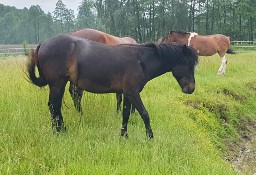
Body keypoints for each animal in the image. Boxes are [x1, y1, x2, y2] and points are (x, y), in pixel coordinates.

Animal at [26, 34, 198, 138]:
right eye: (189, 65)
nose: (191, 89)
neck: (140, 61)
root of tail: (44, 44)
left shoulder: (128, 93)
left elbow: (126, 114)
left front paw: (124, 136)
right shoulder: (133, 93)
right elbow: (144, 114)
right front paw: (150, 137)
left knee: (55, 106)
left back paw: (61, 129)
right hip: (57, 83)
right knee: (54, 106)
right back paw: (58, 131)